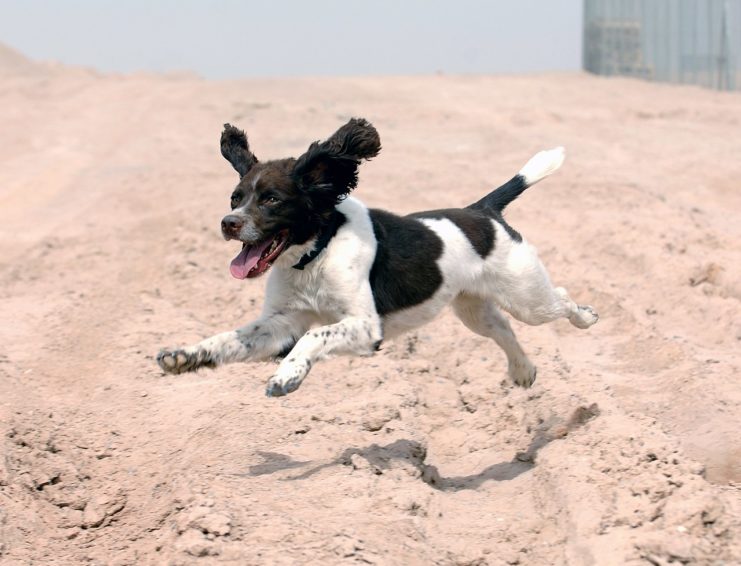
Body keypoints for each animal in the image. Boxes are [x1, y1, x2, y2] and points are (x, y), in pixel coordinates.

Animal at [156, 118, 596, 400]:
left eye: (272, 200)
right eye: (236, 197)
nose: (228, 223)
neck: (316, 254)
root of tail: (483, 210)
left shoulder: (366, 327)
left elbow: (315, 337)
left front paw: (287, 376)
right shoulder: (282, 323)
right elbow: (230, 339)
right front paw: (184, 356)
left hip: (527, 296)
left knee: (559, 298)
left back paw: (586, 317)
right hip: (473, 309)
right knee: (503, 329)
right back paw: (523, 371)